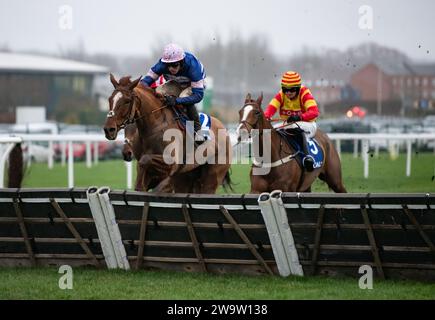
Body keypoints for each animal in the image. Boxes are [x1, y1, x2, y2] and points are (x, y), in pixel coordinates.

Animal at [104, 74, 233, 194]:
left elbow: (145, 160)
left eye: (127, 101)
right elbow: (142, 169)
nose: (108, 129)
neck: (154, 127)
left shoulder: (170, 165)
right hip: (187, 177)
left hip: (211, 178)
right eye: (110, 99)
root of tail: (223, 128)